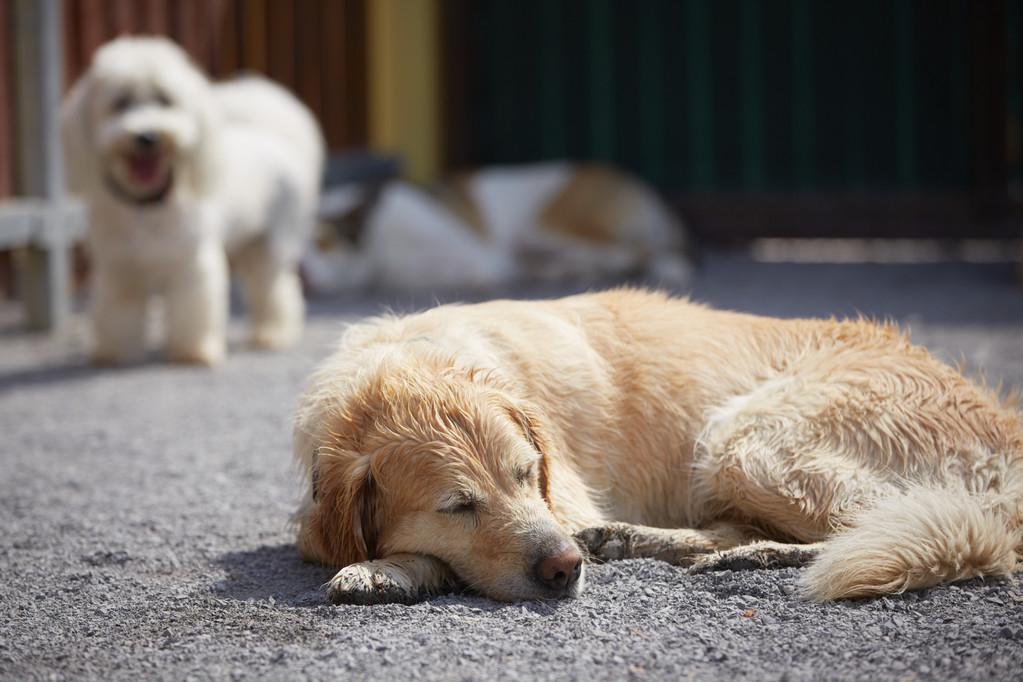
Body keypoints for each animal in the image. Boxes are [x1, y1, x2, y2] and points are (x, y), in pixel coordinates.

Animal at [61, 36, 323, 368]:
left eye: (165, 100)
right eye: (120, 103)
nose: (147, 137)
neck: (149, 208)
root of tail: (274, 138)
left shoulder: (192, 264)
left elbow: (192, 310)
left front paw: (193, 351)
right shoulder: (119, 269)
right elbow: (117, 314)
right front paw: (115, 352)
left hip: (270, 246)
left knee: (276, 290)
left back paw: (272, 333)